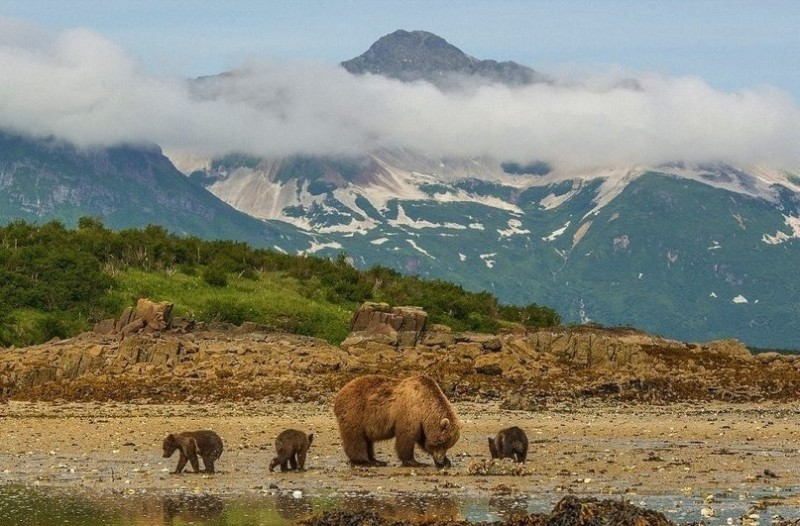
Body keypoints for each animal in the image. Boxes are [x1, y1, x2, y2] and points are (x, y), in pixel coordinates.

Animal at [332, 376, 460, 470]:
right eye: (442, 443)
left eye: (448, 445)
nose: (440, 461)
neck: (425, 406)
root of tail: (338, 396)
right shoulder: (409, 412)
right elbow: (406, 438)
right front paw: (415, 462)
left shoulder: (422, 423)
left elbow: (423, 440)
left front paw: (447, 461)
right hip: (355, 414)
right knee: (356, 439)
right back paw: (365, 461)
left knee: (367, 440)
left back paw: (377, 460)